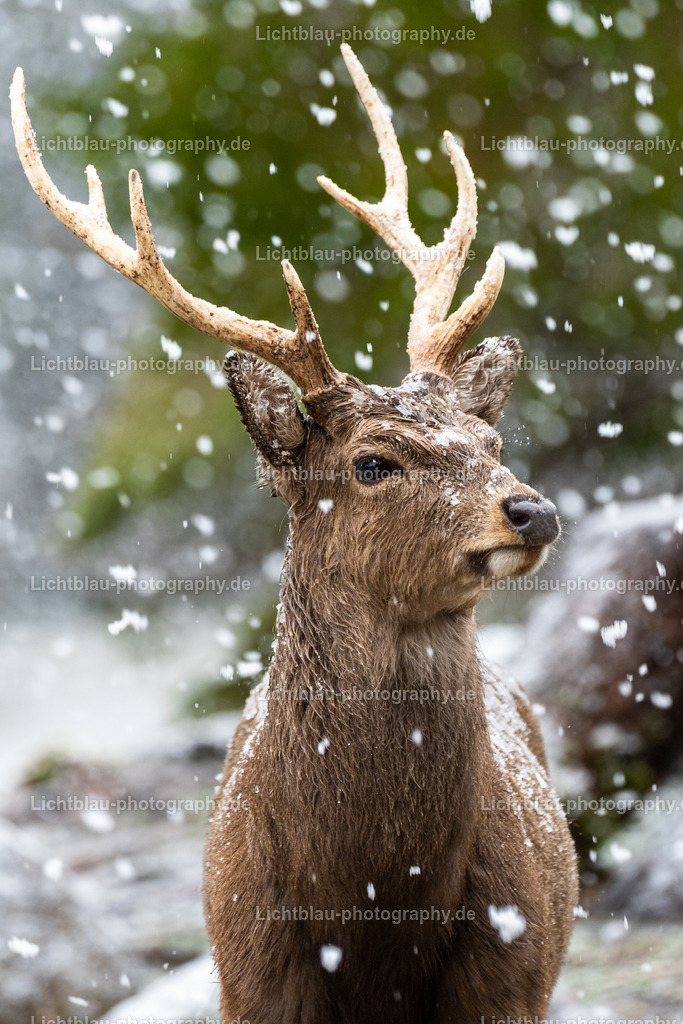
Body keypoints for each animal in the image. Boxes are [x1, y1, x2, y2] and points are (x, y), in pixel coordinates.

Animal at [11, 45, 578, 1023]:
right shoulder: (252, 979)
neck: (373, 909)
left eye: (492, 444)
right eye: (373, 462)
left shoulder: (515, 973)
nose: (530, 509)